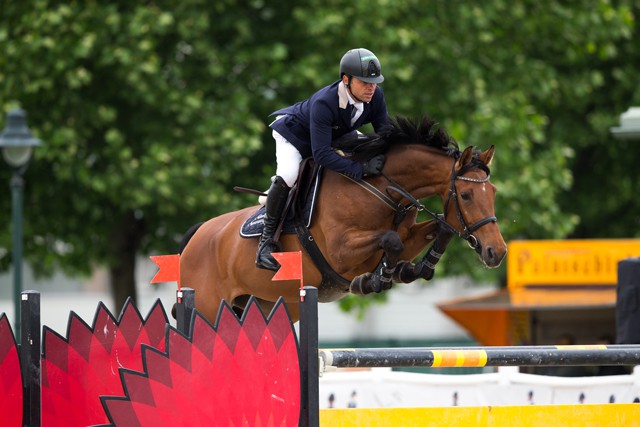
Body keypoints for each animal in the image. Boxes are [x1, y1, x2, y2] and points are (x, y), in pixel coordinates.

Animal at [179, 117, 504, 324]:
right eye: (466, 195)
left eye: (494, 192)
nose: (497, 252)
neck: (383, 188)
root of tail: (196, 236)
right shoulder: (340, 252)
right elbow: (391, 240)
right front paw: (376, 279)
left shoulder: (410, 234)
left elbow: (438, 229)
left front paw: (411, 269)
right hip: (208, 304)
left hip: (269, 303)